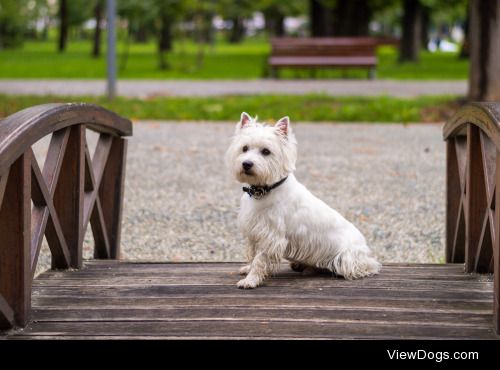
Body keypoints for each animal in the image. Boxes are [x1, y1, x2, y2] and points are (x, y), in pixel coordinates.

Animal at [225, 112, 380, 290]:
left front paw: (250, 280)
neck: (264, 190)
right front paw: (247, 269)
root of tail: (364, 247)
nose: (246, 164)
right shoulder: (253, 230)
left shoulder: (272, 236)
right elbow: (251, 254)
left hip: (347, 257)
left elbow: (259, 259)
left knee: (363, 267)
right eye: (244, 148)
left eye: (266, 151)